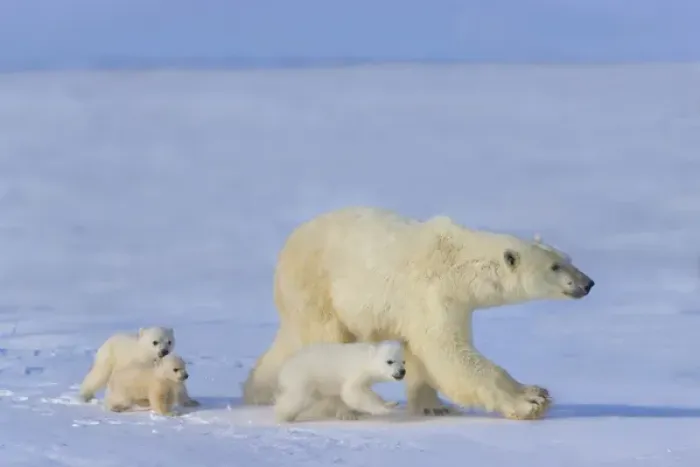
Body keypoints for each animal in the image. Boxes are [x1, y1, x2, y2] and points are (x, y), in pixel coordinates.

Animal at [273, 341, 406, 423]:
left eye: (403, 361)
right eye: (389, 361)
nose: (402, 371)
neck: (366, 359)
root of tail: (284, 366)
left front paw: (391, 403)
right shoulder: (356, 372)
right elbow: (352, 392)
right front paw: (382, 409)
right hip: (303, 377)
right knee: (297, 397)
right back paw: (283, 416)